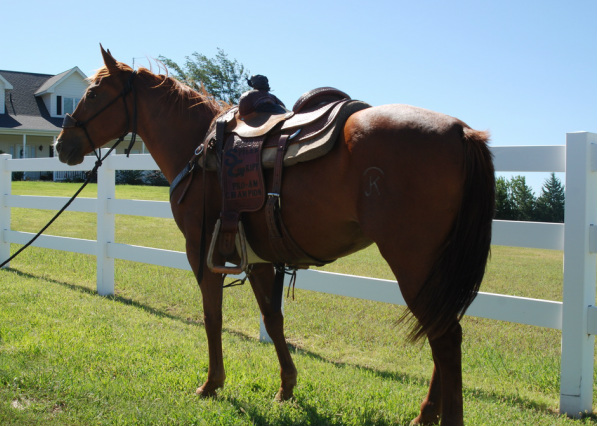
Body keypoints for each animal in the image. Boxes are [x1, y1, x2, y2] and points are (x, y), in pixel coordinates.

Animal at [54, 45, 494, 424]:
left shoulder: (202, 250)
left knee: (445, 338)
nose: (61, 144)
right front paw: (286, 388)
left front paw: (211, 384)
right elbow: (273, 317)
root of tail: (460, 131)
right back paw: (426, 414)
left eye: (93, 93)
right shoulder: (259, 257)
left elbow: (212, 316)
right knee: (443, 333)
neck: (199, 146)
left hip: (413, 262)